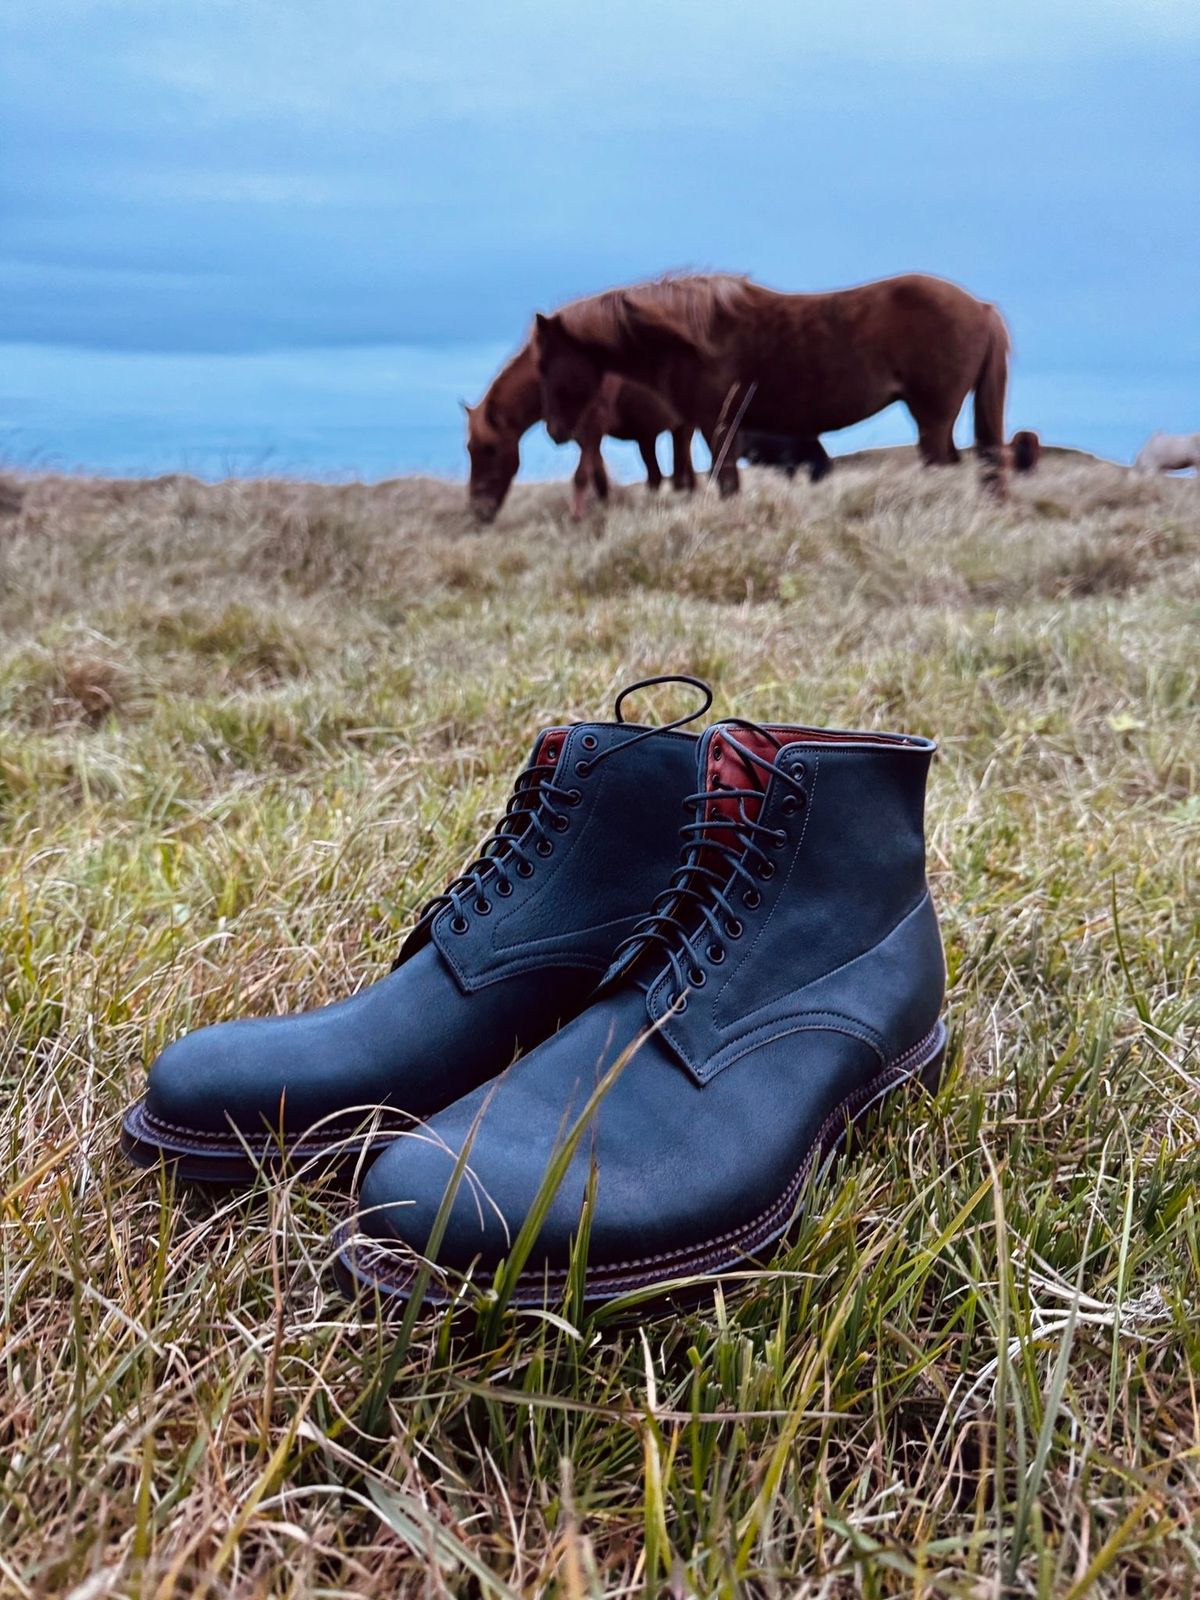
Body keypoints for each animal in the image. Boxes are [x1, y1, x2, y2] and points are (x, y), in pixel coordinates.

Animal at [467, 340, 700, 521]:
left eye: (490, 448)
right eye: (469, 449)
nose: (478, 510)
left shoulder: (593, 427)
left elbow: (581, 476)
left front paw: (577, 517)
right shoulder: (582, 435)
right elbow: (599, 478)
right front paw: (604, 510)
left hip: (682, 428)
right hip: (650, 437)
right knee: (662, 475)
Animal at [534, 272, 1017, 492]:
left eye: (543, 364)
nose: (556, 431)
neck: (688, 339)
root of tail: (982, 308)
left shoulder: (717, 427)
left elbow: (726, 482)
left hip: (932, 417)